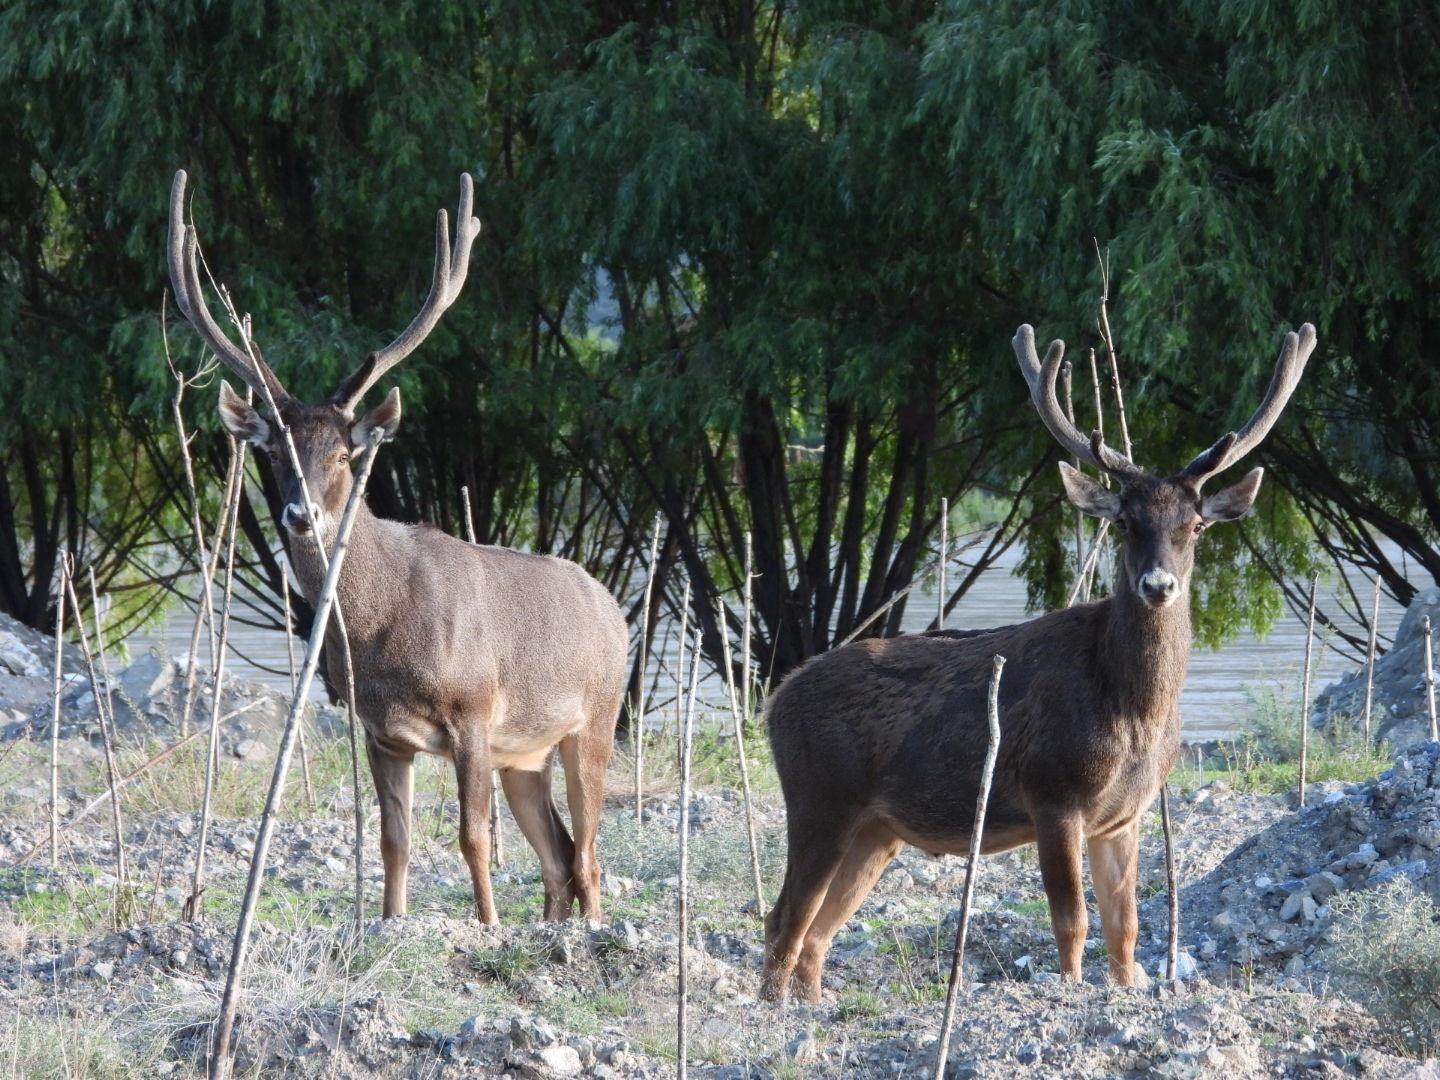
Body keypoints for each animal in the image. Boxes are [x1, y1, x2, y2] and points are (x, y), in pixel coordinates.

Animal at [166, 169, 629, 924]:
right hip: (524, 755)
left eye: (344, 455)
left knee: (587, 856)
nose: (299, 515)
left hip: (594, 716)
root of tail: (614, 609)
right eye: (274, 453)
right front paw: (389, 922)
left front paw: (486, 927)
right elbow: (394, 841)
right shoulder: (380, 729)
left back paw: (587, 932)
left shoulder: (474, 708)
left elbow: (472, 836)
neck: (381, 633)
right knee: (559, 858)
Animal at [760, 321, 1316, 1001]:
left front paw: (1123, 991)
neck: (1133, 711)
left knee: (817, 931)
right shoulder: (1053, 791)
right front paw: (1068, 993)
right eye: (1125, 523)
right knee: (785, 919)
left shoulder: (1122, 817)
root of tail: (775, 701)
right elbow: (1071, 920)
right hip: (819, 795)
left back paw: (809, 1008)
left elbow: (1126, 927)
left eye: (1195, 526)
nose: (1159, 585)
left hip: (877, 829)